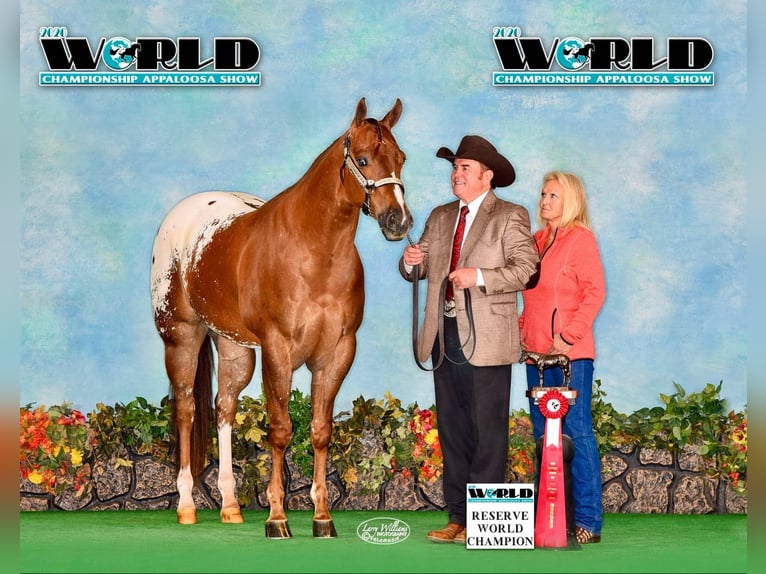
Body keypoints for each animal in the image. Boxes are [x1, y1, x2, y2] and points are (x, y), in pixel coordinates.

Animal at [151, 99, 414, 540]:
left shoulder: (336, 353)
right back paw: (186, 506)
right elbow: (280, 430)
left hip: (234, 347)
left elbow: (320, 432)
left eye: (401, 158)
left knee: (224, 408)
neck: (314, 252)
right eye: (362, 159)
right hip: (181, 337)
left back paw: (231, 507)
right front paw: (277, 518)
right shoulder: (278, 350)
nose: (399, 222)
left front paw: (323, 519)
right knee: (186, 409)